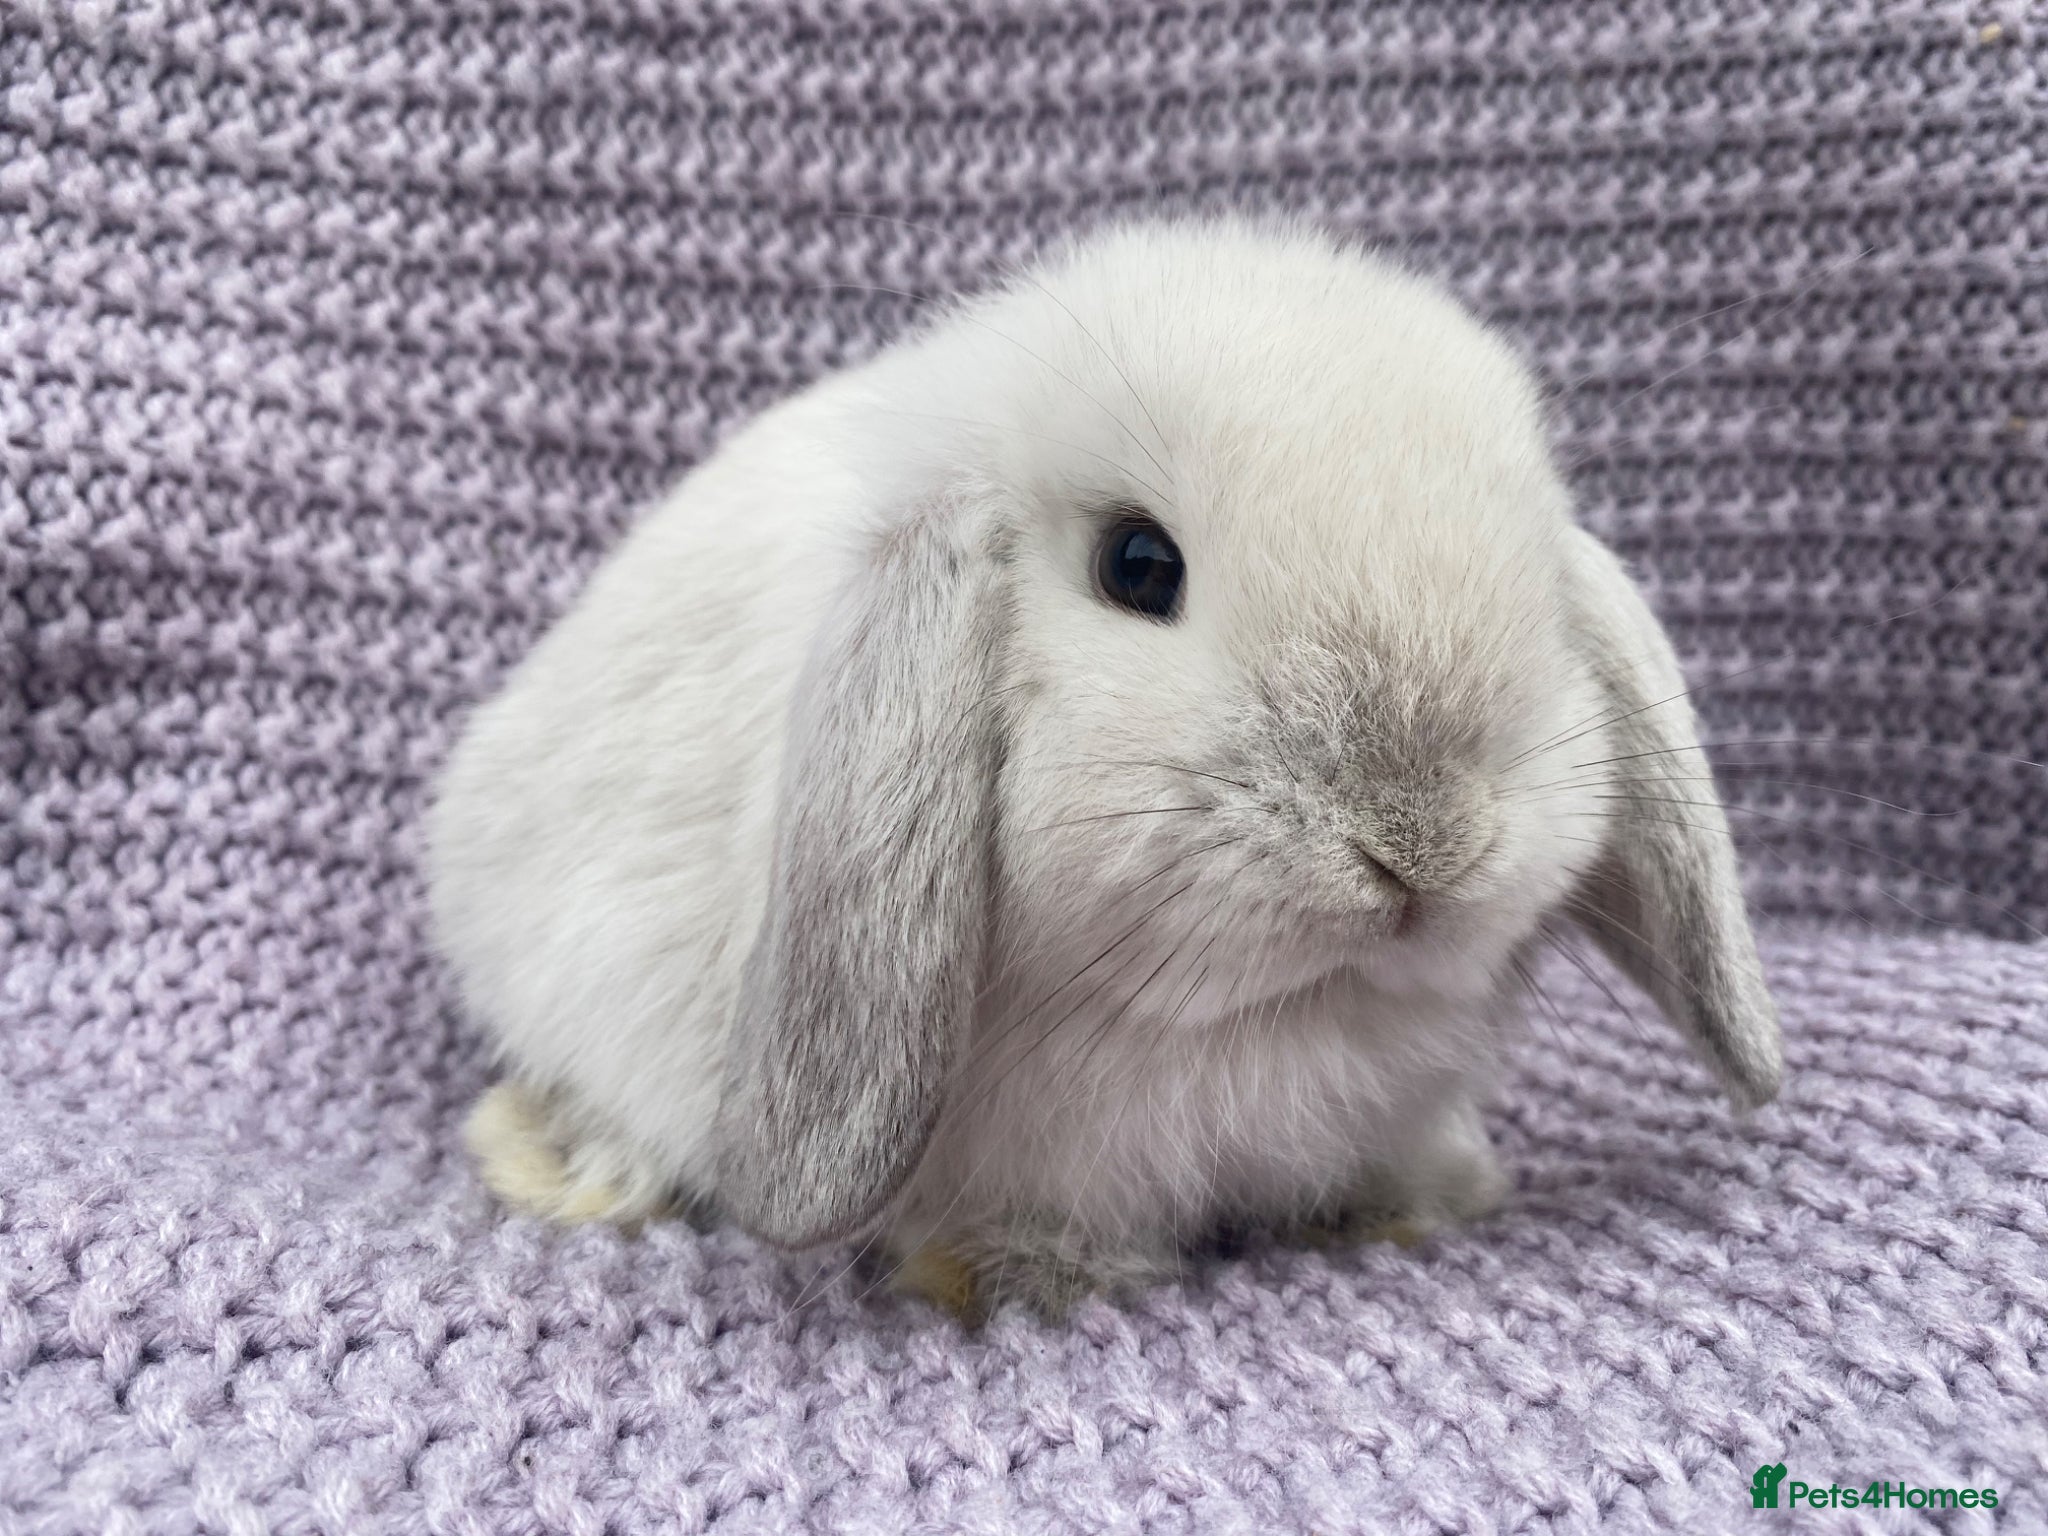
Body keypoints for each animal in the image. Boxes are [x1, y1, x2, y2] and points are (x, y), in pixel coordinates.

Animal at [426, 216, 1782, 1321]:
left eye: (1539, 586)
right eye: (1137, 565)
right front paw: (1017, 1280)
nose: (1421, 842)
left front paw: (1418, 1201)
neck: (1264, 1022)